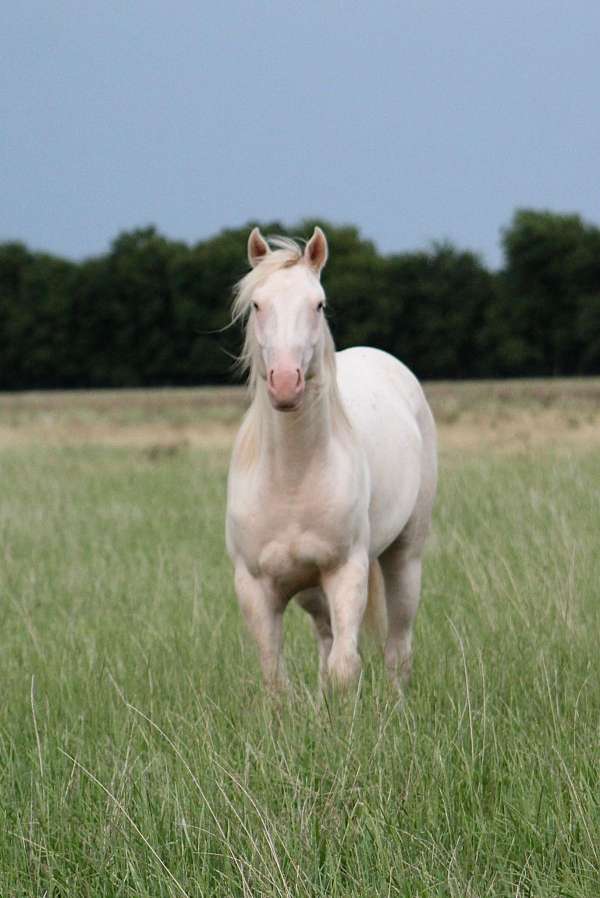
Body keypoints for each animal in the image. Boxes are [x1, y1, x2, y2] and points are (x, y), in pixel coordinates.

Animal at [225, 226, 437, 693]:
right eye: (257, 304)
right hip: (310, 589)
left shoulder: (345, 572)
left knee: (398, 648)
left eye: (318, 303)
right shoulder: (256, 587)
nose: (286, 383)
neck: (292, 476)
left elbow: (346, 667)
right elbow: (277, 677)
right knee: (325, 641)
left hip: (405, 557)